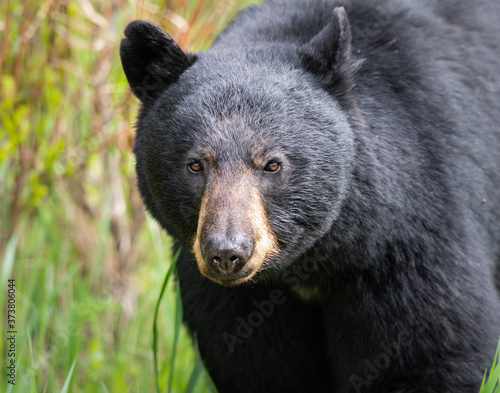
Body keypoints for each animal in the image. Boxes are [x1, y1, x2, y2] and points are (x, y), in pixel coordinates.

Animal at [120, 0, 500, 390]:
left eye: (272, 164)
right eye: (195, 165)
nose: (227, 253)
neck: (311, 262)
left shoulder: (410, 234)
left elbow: (431, 347)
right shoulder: (229, 295)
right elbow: (257, 364)